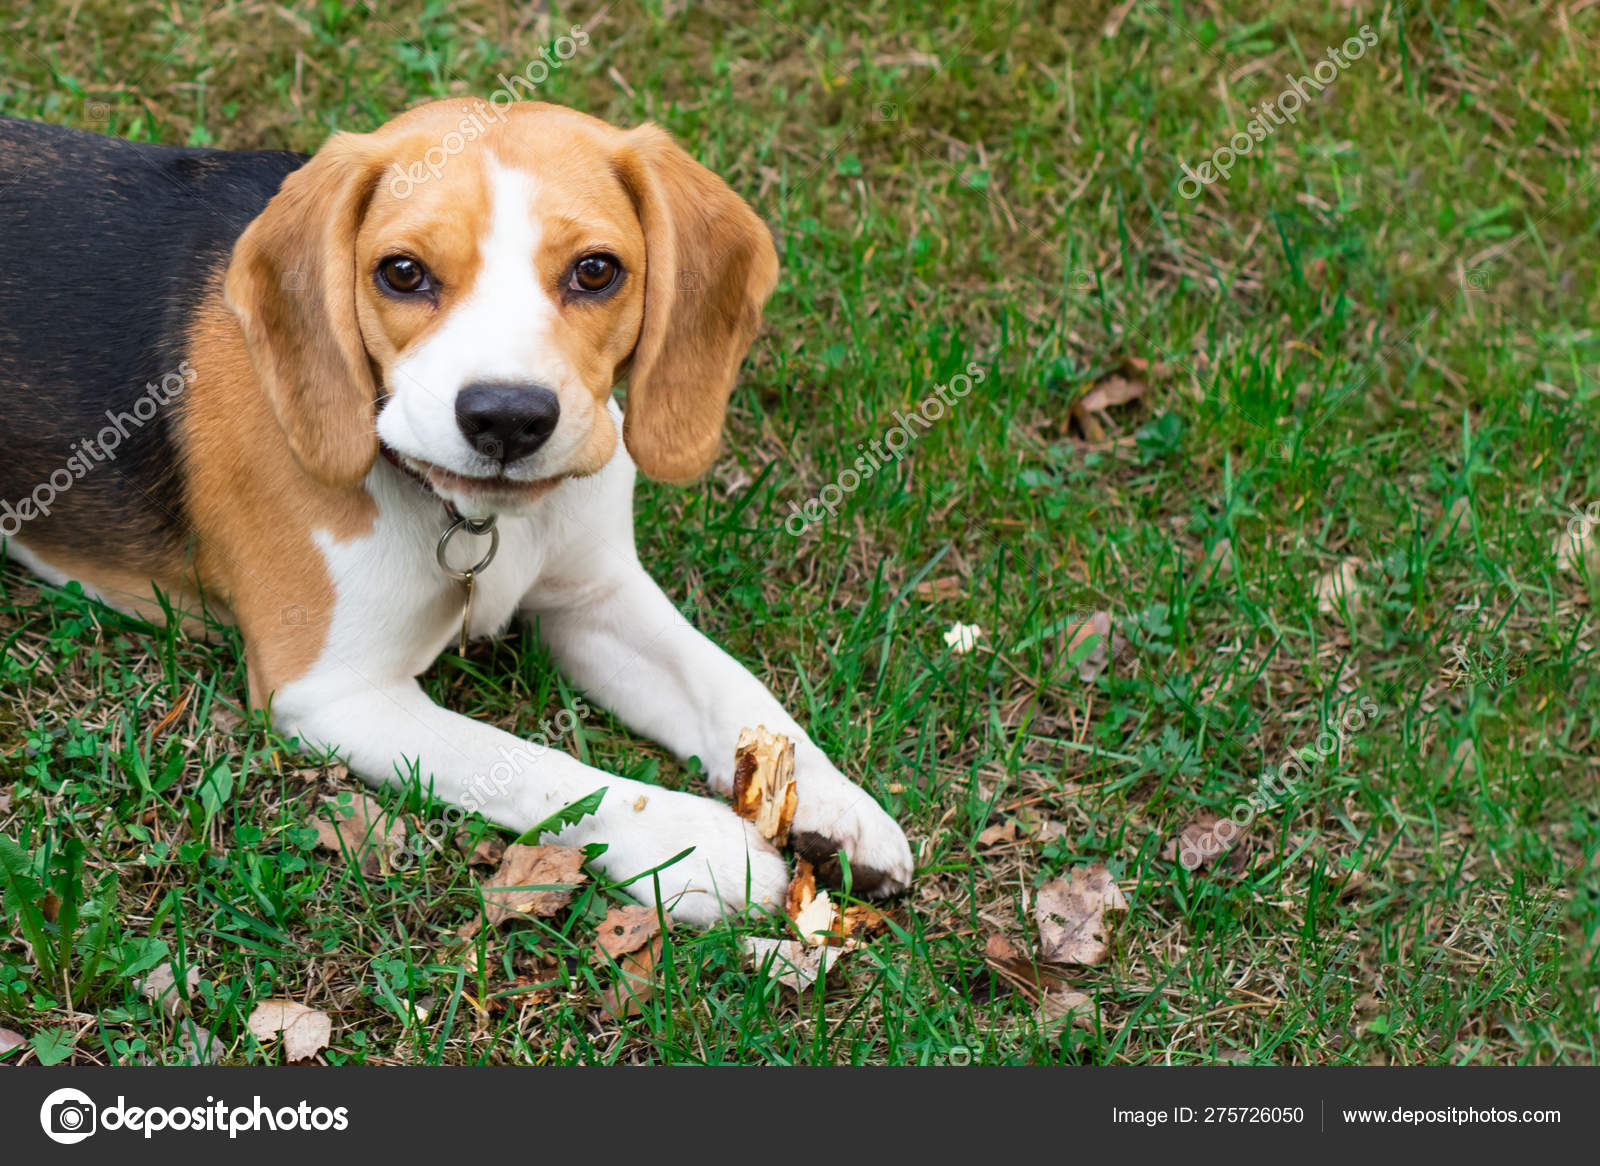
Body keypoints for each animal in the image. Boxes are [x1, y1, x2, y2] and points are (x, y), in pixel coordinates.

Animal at [3, 97, 915, 921]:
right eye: (402, 273)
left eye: (596, 270)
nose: (507, 417)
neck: (478, 517)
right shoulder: (335, 691)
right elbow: (533, 765)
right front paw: (701, 847)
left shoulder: (597, 599)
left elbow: (729, 682)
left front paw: (830, 799)